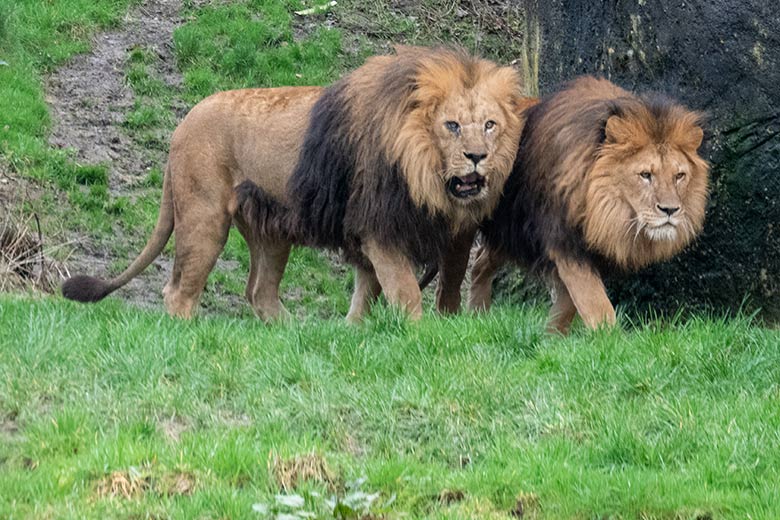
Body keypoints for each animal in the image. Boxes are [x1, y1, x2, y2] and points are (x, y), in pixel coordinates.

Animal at [62, 45, 532, 320]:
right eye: (451, 125)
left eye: (489, 125)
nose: (477, 158)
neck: (429, 179)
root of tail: (181, 125)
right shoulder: (380, 230)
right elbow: (404, 293)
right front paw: (415, 336)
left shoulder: (453, 233)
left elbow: (436, 290)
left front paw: (360, 332)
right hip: (203, 216)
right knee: (178, 290)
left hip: (270, 230)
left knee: (259, 292)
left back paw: (291, 335)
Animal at [466, 76, 708, 334]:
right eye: (645, 175)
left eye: (679, 176)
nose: (670, 210)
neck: (602, 209)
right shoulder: (564, 240)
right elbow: (596, 303)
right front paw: (609, 338)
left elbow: (569, 303)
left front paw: (551, 335)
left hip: (509, 232)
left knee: (480, 262)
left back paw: (476, 316)